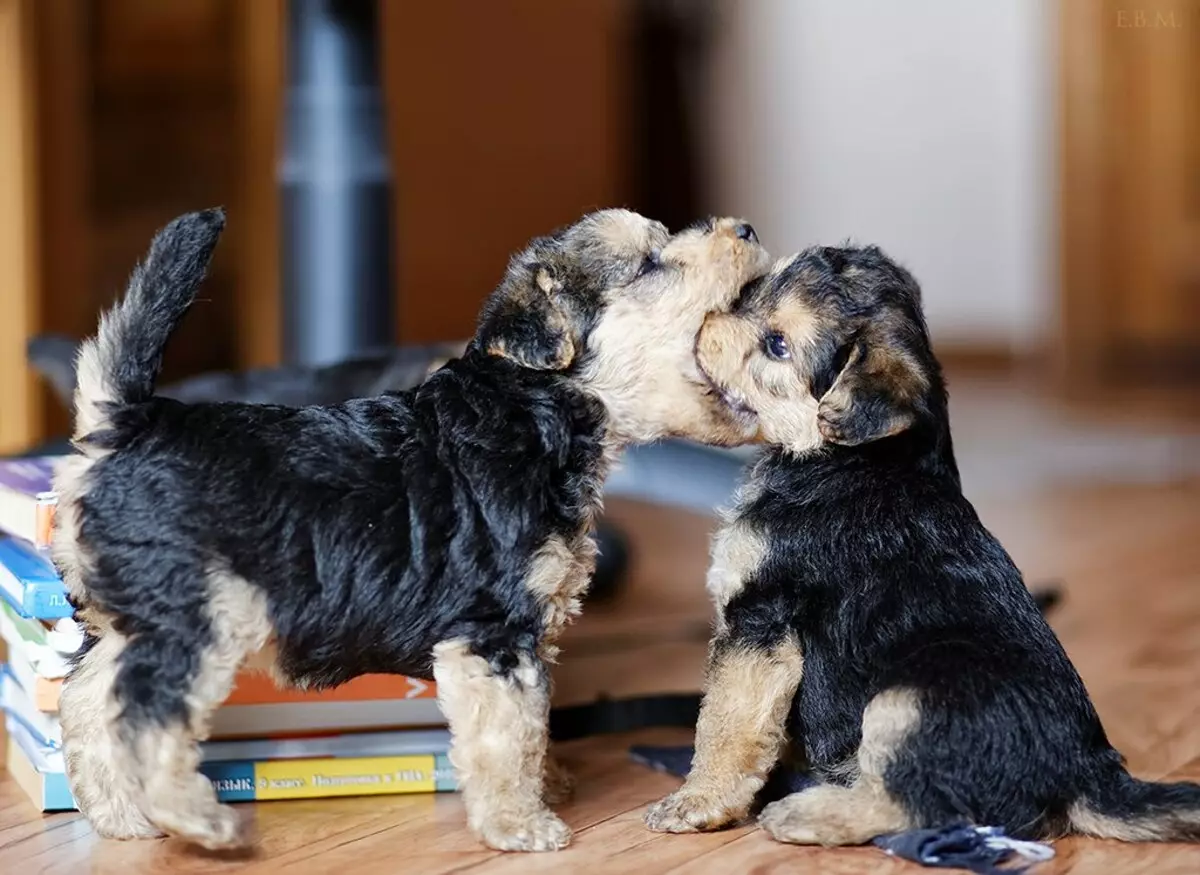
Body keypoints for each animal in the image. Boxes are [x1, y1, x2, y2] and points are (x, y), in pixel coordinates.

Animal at [54, 205, 768, 844]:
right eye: (649, 263)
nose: (747, 229)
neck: (537, 410)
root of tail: (125, 422)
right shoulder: (491, 631)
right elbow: (505, 736)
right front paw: (520, 825)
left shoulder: (524, 635)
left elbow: (532, 724)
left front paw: (548, 785)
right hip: (198, 614)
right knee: (146, 714)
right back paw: (190, 816)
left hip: (128, 615)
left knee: (85, 701)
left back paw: (120, 817)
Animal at [648, 242, 1200, 844]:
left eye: (777, 345)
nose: (702, 323)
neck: (847, 459)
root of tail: (1085, 772)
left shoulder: (761, 618)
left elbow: (724, 720)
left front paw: (698, 801)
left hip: (911, 696)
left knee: (918, 802)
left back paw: (807, 812)